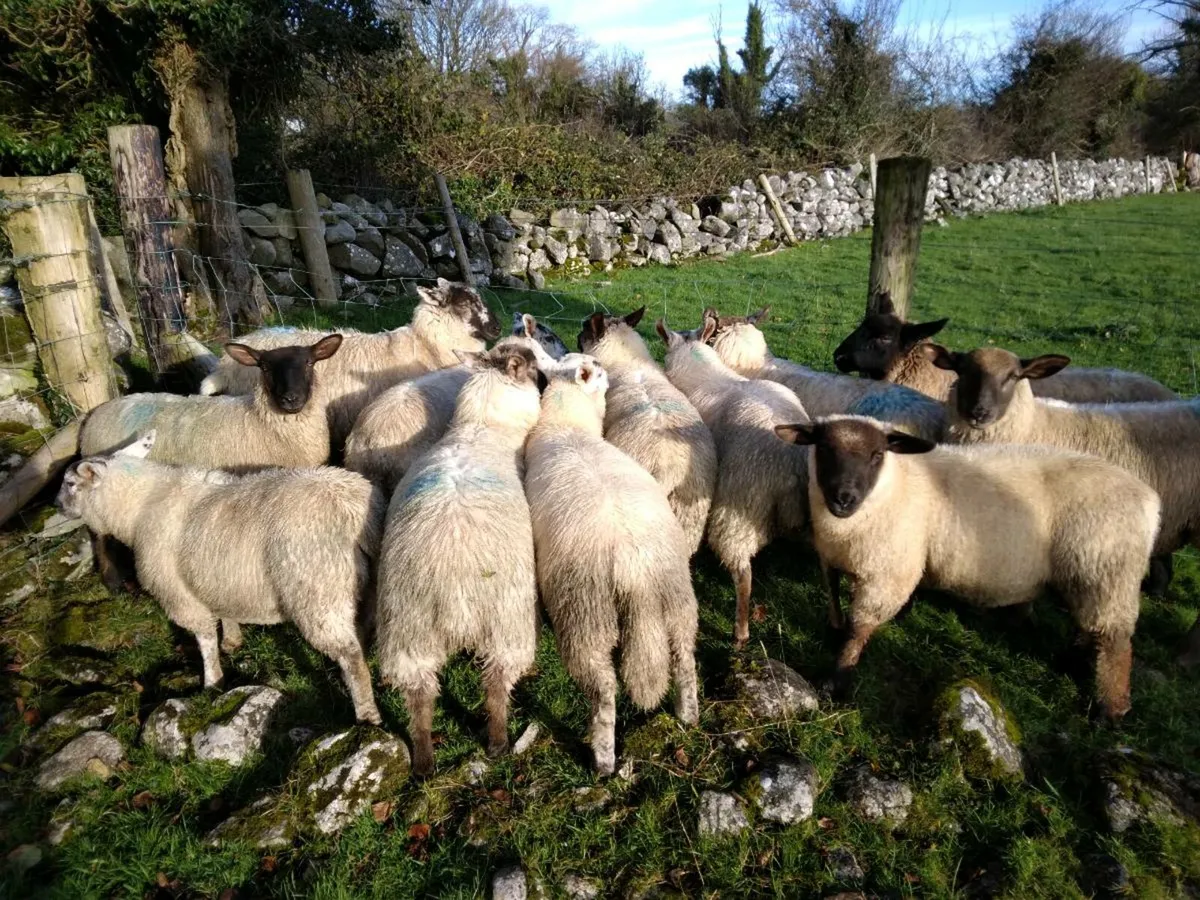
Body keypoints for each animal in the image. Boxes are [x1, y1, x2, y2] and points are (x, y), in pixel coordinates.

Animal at [55, 431, 384, 724]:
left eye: (70, 483)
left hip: (318, 591)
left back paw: (367, 715)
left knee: (350, 655)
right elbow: (225, 612)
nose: (56, 505)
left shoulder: (180, 595)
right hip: (361, 590)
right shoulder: (215, 579)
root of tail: (353, 509)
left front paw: (212, 682)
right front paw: (233, 640)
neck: (139, 508)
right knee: (359, 639)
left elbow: (204, 639)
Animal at [374, 341, 543, 776]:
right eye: (533, 364)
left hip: (408, 632)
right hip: (506, 623)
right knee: (497, 685)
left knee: (418, 698)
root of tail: (454, 593)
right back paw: (498, 743)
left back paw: (422, 762)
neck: (481, 427)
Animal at [524, 353, 699, 775]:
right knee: (685, 660)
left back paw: (602, 759)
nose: (601, 364)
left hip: (585, 616)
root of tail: (636, 569)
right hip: (678, 599)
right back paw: (688, 716)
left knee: (603, 692)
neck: (566, 425)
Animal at [776, 415, 1160, 719]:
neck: (892, 487)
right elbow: (834, 605)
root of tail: (1149, 501)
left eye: (877, 455)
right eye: (824, 449)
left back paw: (1111, 709)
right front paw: (836, 634)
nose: (844, 498)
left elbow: (858, 627)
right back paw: (1071, 663)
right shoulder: (832, 558)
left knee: (1115, 644)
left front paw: (837, 678)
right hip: (1087, 576)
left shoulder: (888, 571)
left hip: (1106, 571)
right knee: (1088, 626)